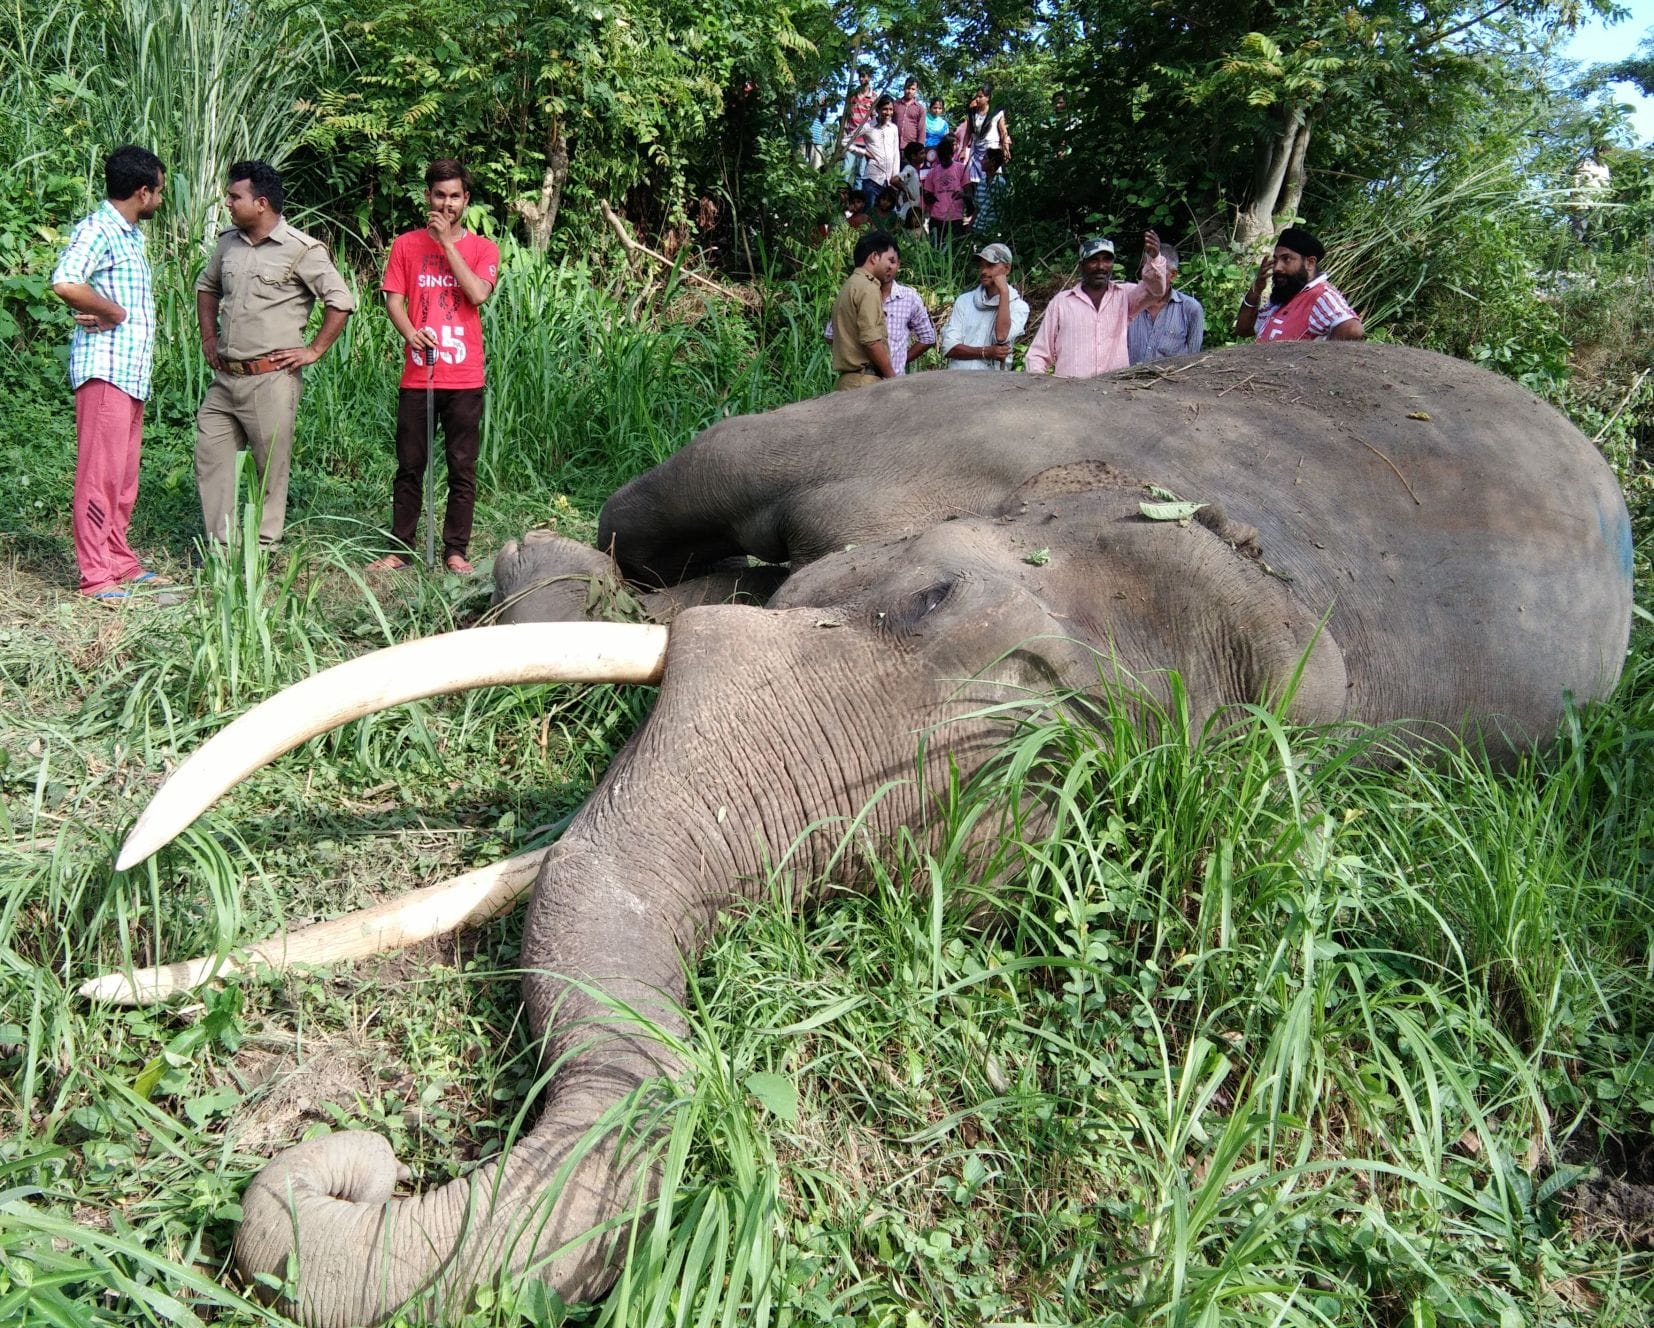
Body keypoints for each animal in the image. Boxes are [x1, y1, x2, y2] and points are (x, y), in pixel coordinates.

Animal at [111, 342, 1633, 1327]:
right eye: (941, 605)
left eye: (1050, 809)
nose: (351, 1165)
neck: (1247, 557)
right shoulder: (912, 437)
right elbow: (653, 516)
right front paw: (542, 577)